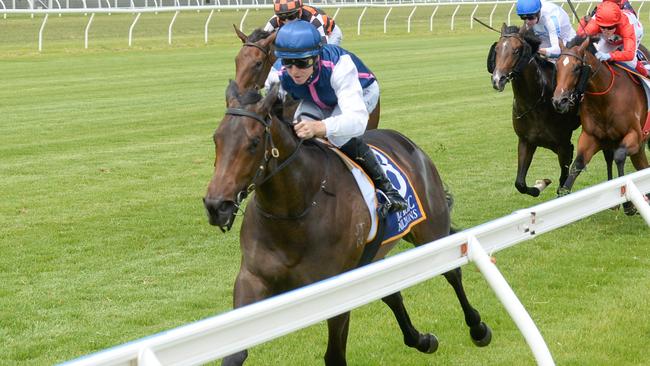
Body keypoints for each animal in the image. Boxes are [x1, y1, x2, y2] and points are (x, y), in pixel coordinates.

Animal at [202, 81, 492, 366]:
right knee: (391, 292)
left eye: (253, 143)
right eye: (216, 139)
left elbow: (334, 356)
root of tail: (408, 143)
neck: (295, 212)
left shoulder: (337, 290)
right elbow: (234, 354)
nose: (216, 206)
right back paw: (422, 340)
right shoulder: (252, 279)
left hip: (430, 231)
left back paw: (478, 329)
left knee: (452, 272)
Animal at [488, 23, 612, 197]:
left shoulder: (564, 145)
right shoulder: (526, 141)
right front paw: (540, 184)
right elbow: (520, 183)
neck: (535, 103)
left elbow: (563, 183)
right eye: (497, 49)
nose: (497, 79)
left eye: (516, 50)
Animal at [552, 35, 648, 213]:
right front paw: (562, 199)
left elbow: (619, 156)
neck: (605, 98)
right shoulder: (591, 137)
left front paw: (628, 204)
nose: (559, 101)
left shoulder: (635, 135)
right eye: (557, 66)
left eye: (577, 68)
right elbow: (578, 164)